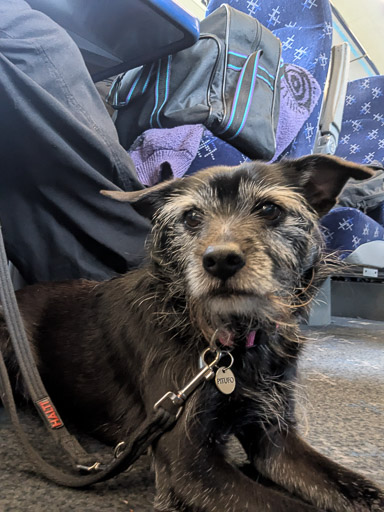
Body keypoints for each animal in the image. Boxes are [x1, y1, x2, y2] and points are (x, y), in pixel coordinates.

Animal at [0, 156, 384, 512]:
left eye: (269, 209)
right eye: (192, 217)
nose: (221, 260)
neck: (230, 339)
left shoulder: (274, 439)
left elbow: (357, 488)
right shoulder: (189, 463)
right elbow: (287, 507)